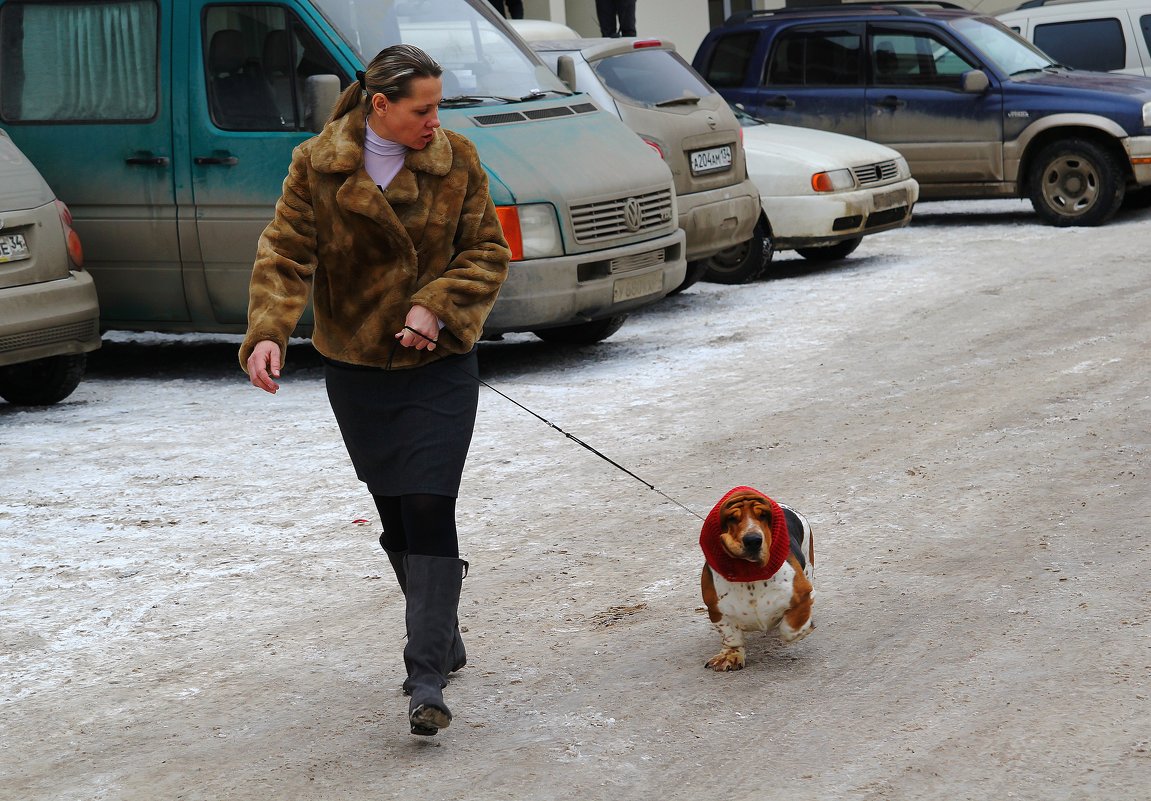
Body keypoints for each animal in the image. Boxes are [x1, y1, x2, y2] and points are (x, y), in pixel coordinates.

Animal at [695, 487, 814, 667]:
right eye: (731, 518)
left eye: (764, 516)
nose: (753, 540)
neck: (749, 573)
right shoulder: (717, 610)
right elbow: (731, 635)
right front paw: (731, 655)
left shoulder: (801, 594)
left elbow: (790, 627)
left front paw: (800, 629)